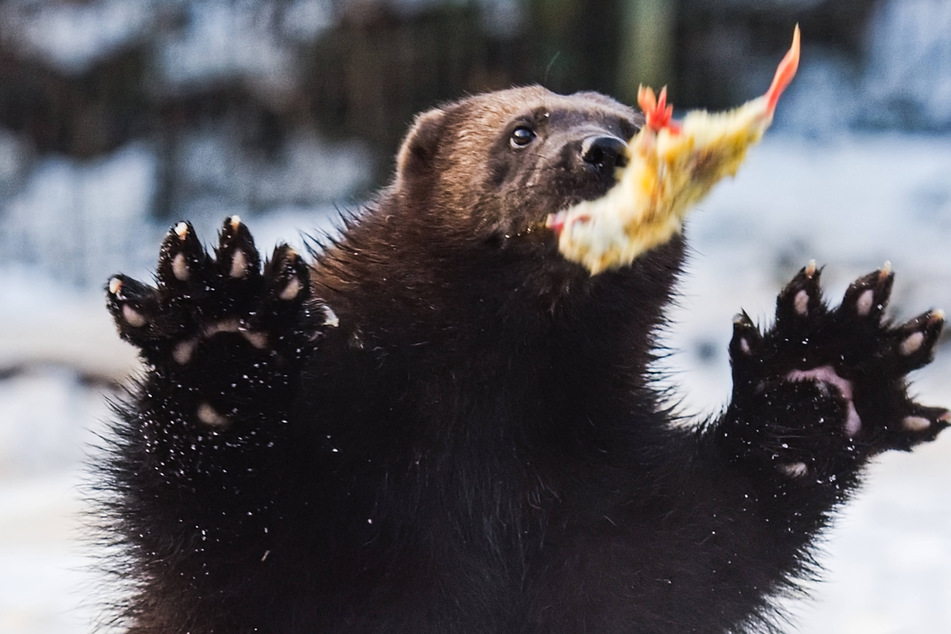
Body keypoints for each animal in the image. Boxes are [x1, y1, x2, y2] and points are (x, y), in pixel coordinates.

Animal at [102, 86, 947, 633]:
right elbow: (210, 529)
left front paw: (826, 368)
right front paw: (220, 336)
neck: (488, 455)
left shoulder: (613, 501)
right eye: (521, 130)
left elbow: (708, 547)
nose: (603, 150)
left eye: (640, 131)